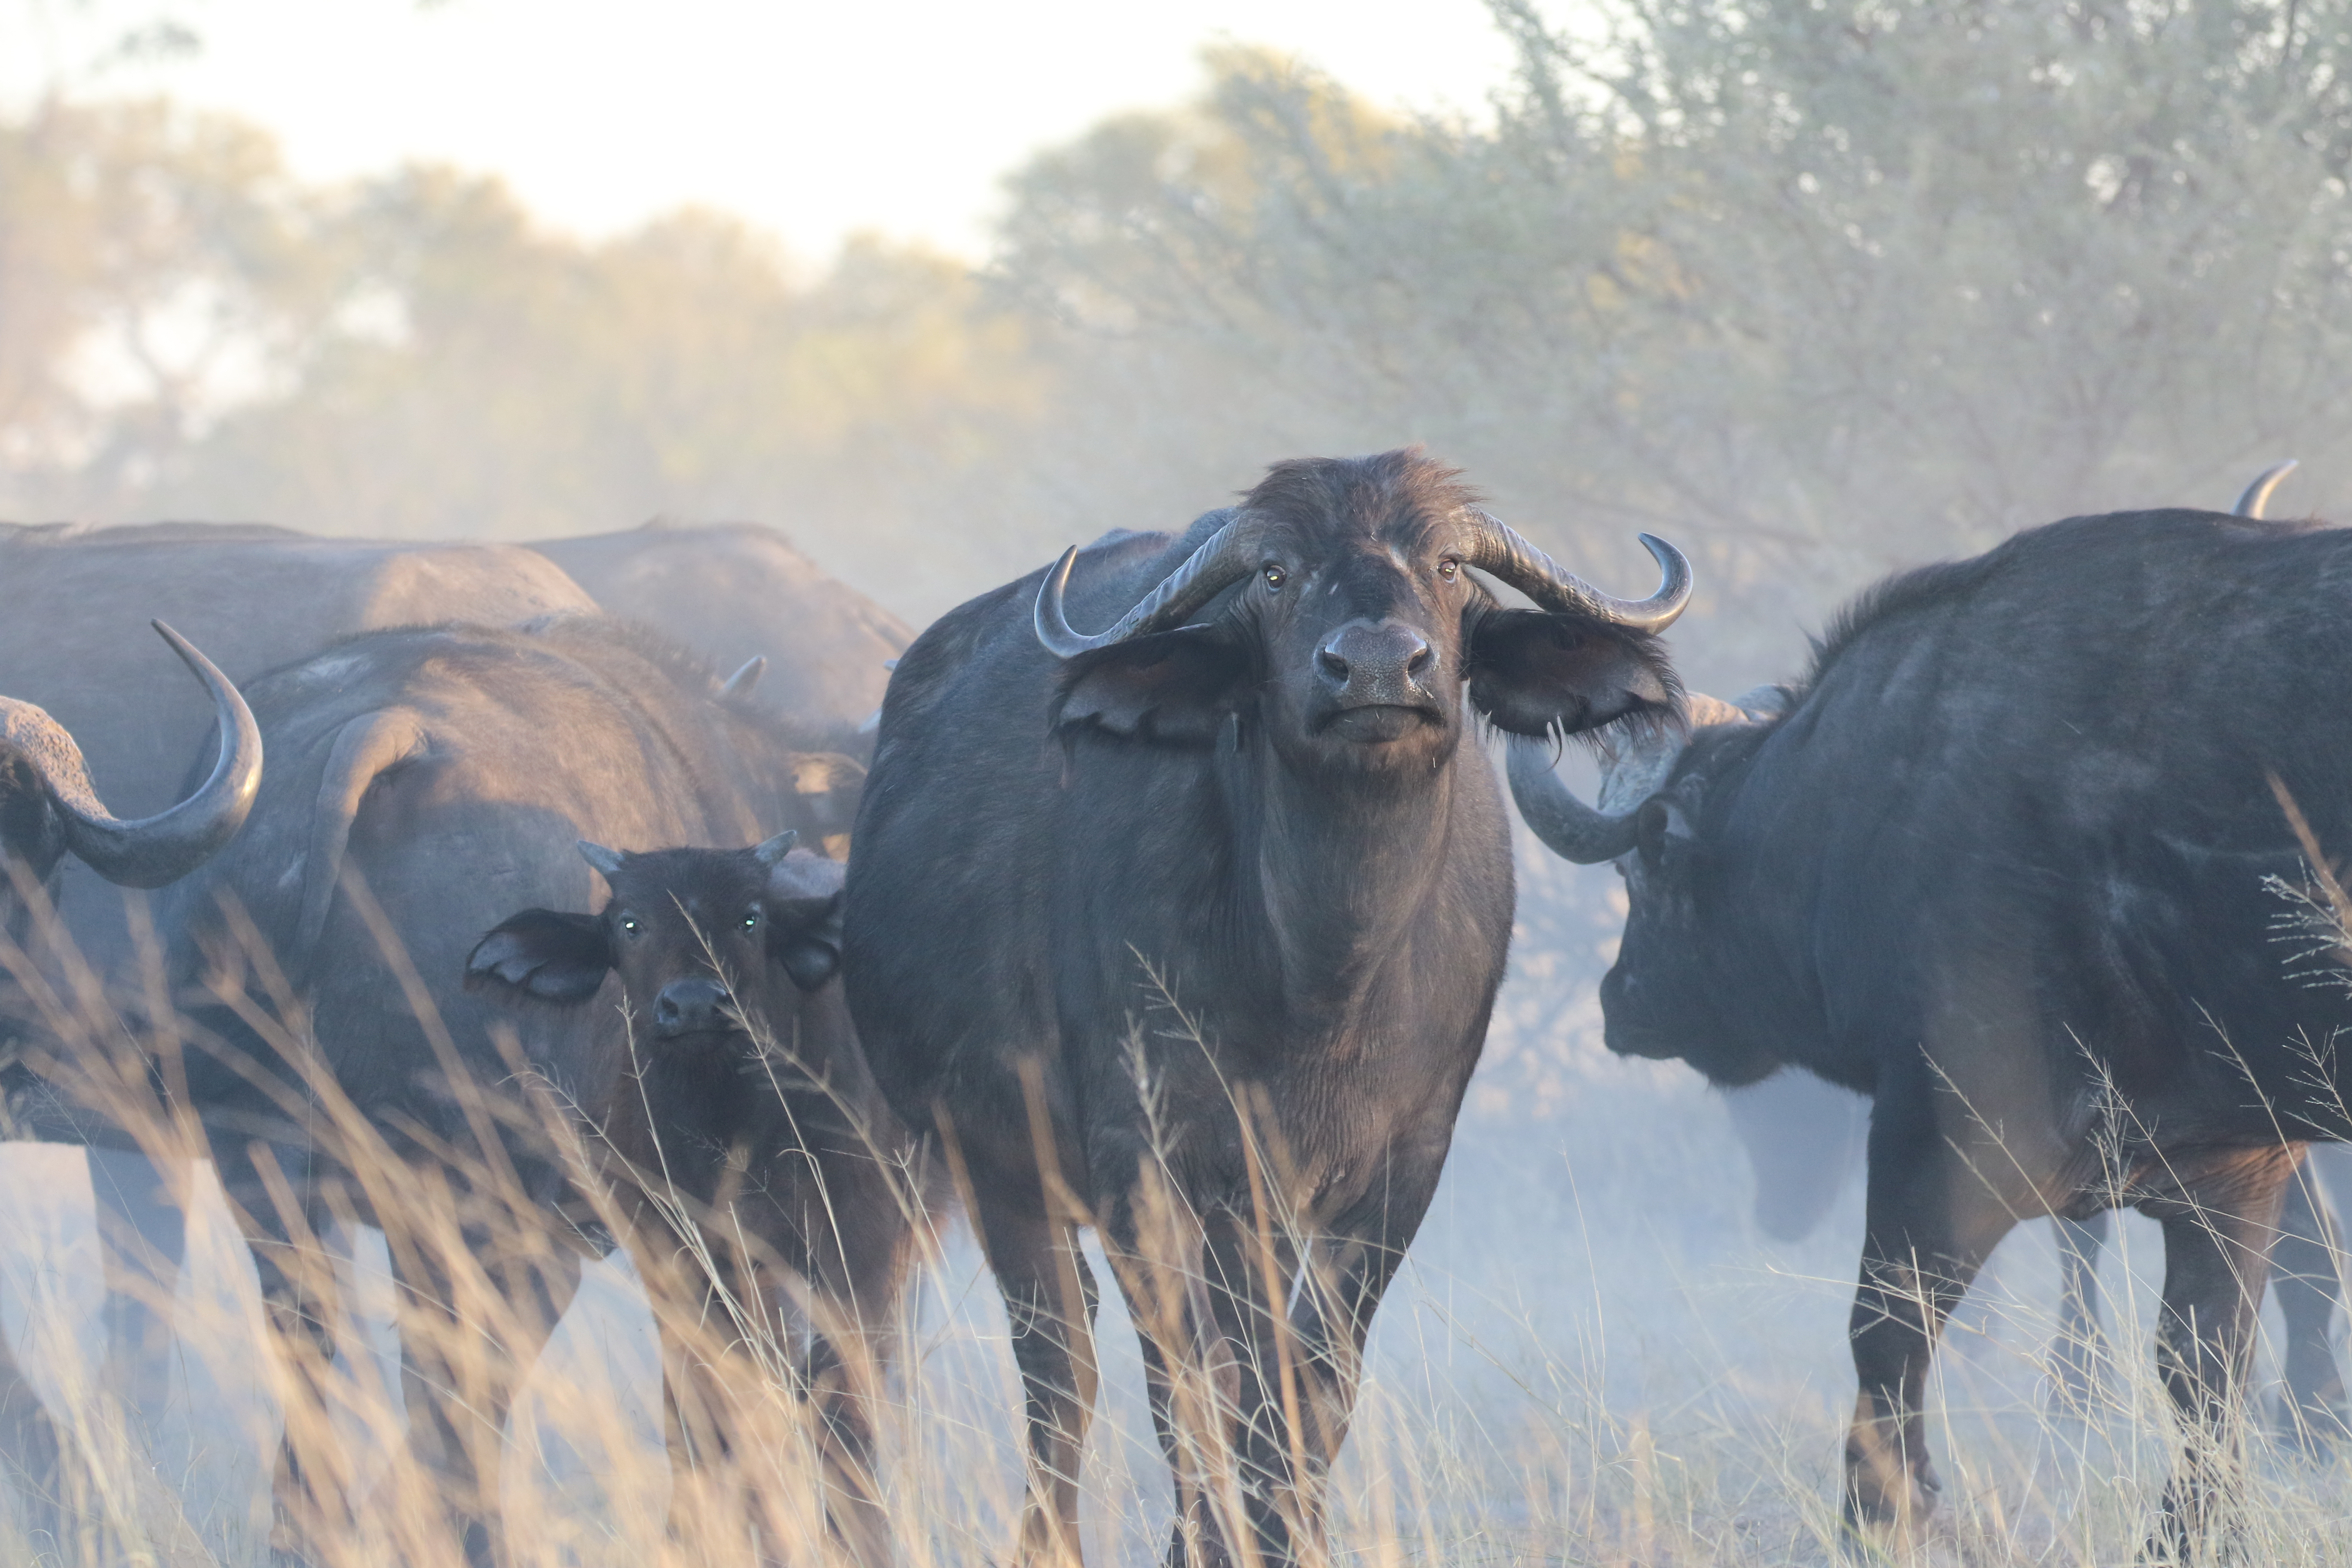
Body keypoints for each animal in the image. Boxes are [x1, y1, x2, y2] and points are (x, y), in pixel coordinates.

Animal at [845, 450, 1690, 1567]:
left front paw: (1291, 1535)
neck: (1322, 981)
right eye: (1279, 574)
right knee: (1063, 1372)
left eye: (1448, 565)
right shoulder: (1152, 1165)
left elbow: (1309, 1392)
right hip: (994, 1166)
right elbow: (1194, 1393)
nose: (1376, 668)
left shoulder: (1396, 1174)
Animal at [1508, 505, 2352, 1555]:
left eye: (1646, 864)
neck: (1859, 797)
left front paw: (1880, 1515)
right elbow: (2204, 1366)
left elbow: (1887, 1327)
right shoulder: (2234, 1165)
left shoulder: (1952, 1128)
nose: (1620, 1000)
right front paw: (2188, 1538)